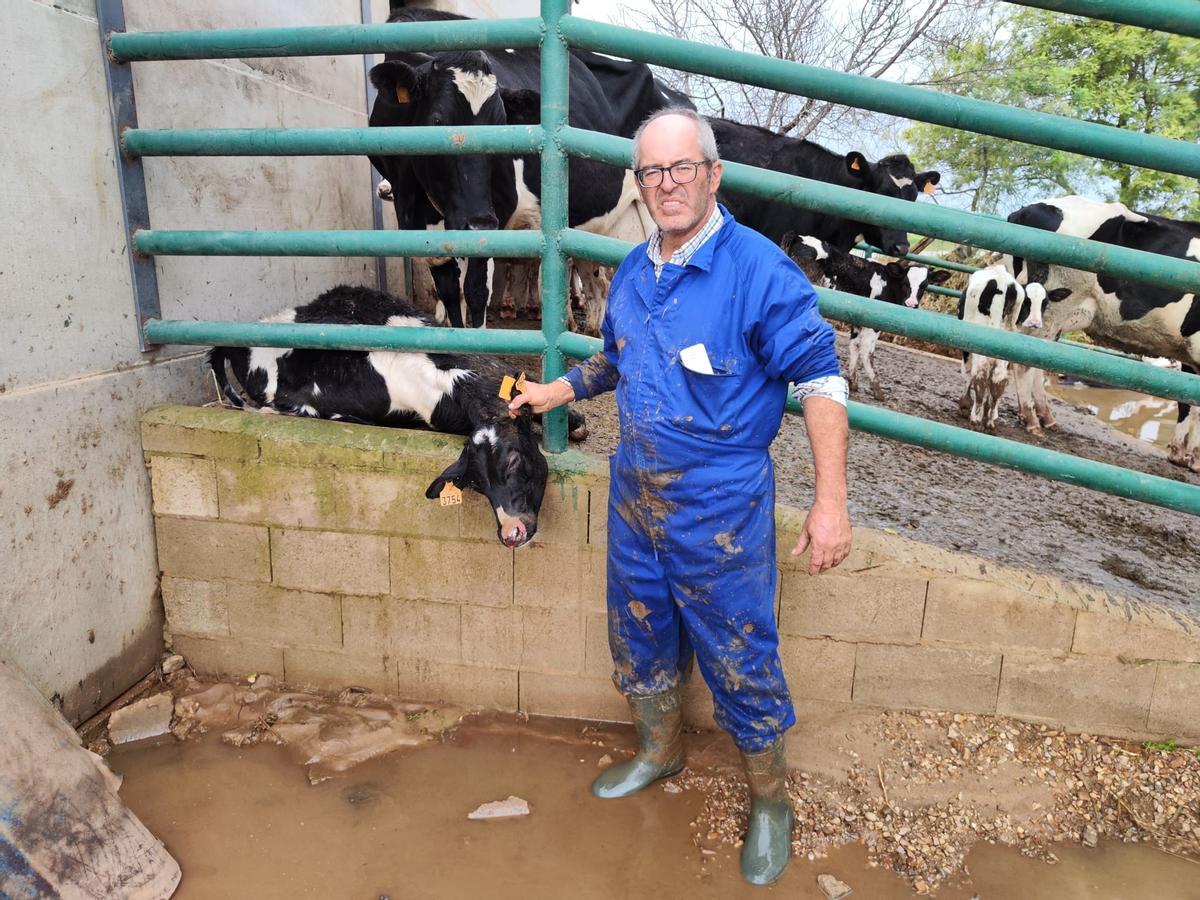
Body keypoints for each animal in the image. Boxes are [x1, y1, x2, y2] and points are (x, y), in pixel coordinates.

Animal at [782, 234, 950, 400]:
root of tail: (798, 237)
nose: (911, 304)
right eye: (905, 282)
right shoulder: (874, 323)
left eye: (925, 285)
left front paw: (853, 382)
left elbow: (854, 345)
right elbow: (867, 351)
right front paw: (877, 389)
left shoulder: (858, 320)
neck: (888, 283)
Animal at [1008, 196, 1195, 472]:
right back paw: (1031, 420)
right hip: (1048, 307)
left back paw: (1045, 417)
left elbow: (1187, 401)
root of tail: (1028, 209)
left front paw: (1183, 454)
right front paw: (1191, 458)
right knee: (1024, 360)